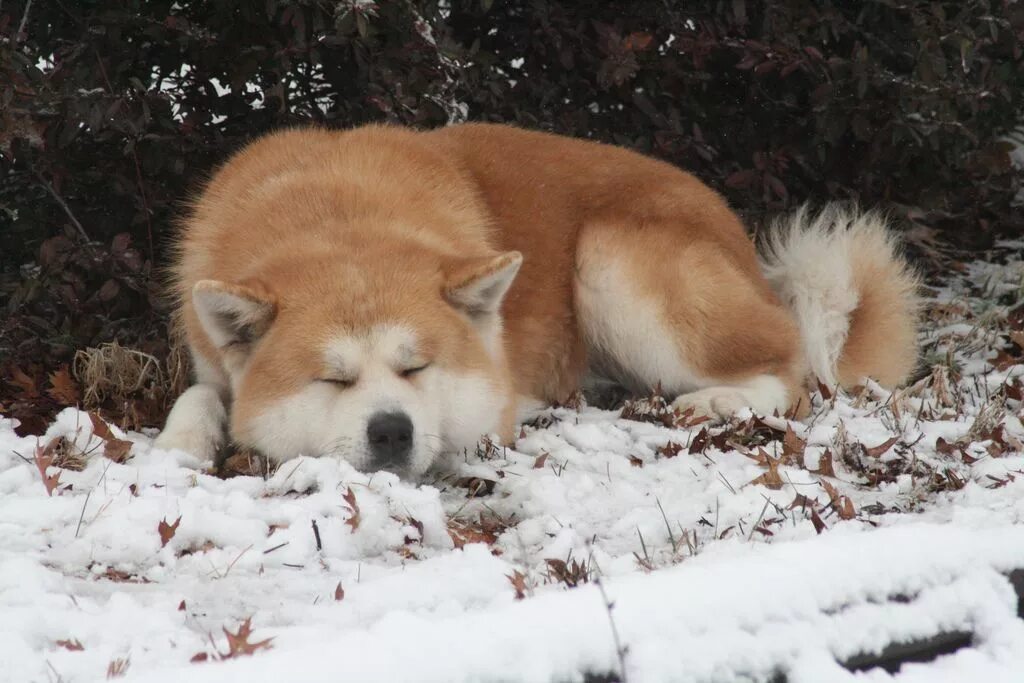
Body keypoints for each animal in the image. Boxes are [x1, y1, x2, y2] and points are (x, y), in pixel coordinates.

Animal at [153, 125, 921, 481]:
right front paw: (181, 443)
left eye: (416, 368)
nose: (392, 431)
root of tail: (733, 231)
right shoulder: (212, 356)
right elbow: (200, 393)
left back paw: (716, 401)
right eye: (331, 378)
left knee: (793, 371)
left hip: (609, 262)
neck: (334, 216)